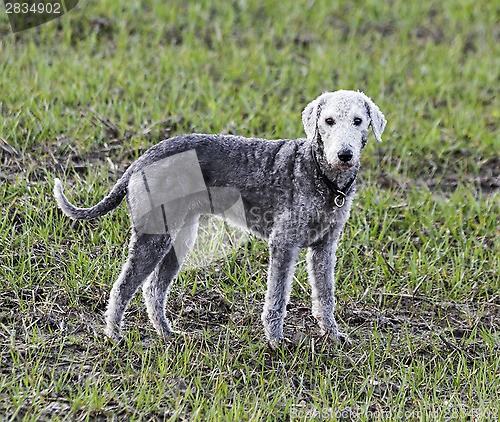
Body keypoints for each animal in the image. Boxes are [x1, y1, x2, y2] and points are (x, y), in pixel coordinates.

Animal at [53, 90, 386, 350]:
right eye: (328, 121)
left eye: (358, 121)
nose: (344, 155)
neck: (319, 173)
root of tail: (142, 159)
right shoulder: (284, 243)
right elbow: (277, 299)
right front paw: (276, 342)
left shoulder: (324, 248)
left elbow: (325, 297)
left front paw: (334, 336)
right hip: (155, 237)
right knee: (123, 287)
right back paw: (114, 337)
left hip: (180, 238)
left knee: (153, 289)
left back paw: (167, 334)